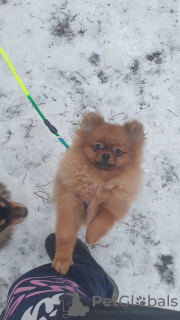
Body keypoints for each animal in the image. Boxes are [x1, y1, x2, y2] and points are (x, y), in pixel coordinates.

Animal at [52, 112, 145, 276]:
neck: (99, 181)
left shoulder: (112, 206)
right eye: (97, 146)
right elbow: (65, 235)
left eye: (117, 151)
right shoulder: (70, 203)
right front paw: (62, 262)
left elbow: (100, 222)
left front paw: (91, 237)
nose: (106, 155)